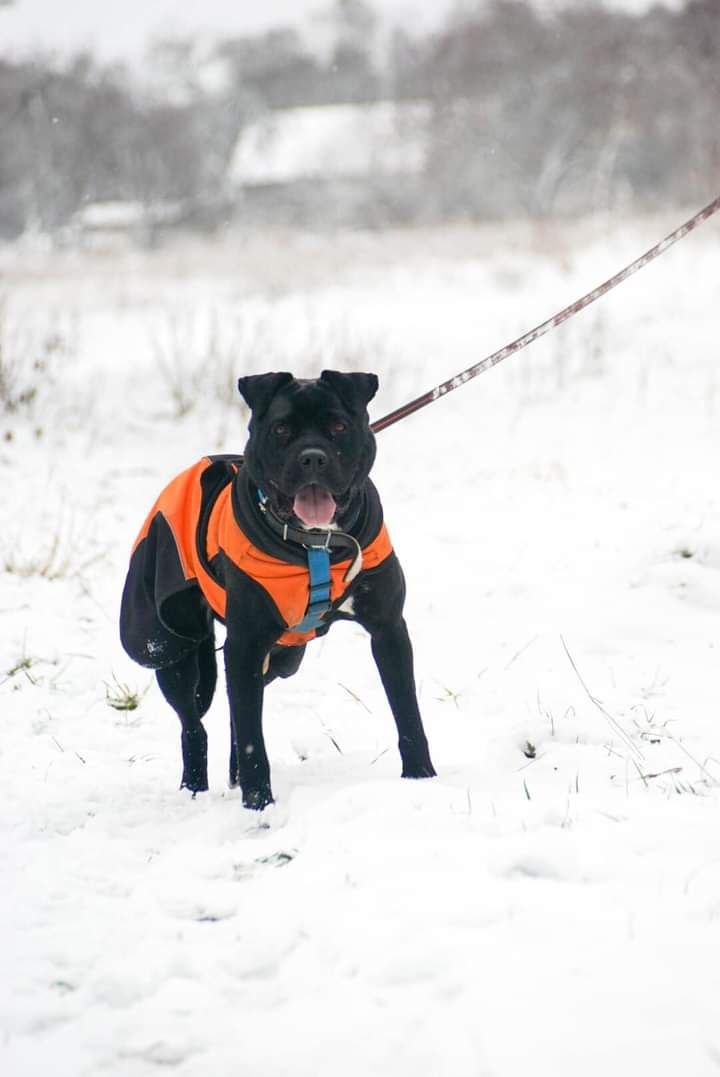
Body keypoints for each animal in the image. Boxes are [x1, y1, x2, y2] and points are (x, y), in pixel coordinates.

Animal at [119, 372, 432, 809]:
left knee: (237, 710)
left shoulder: (387, 628)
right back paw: (195, 787)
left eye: (338, 427)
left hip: (282, 657)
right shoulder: (246, 642)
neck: (315, 544)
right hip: (169, 645)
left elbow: (407, 712)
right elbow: (253, 737)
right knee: (194, 723)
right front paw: (258, 806)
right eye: (282, 430)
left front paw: (422, 778)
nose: (313, 458)